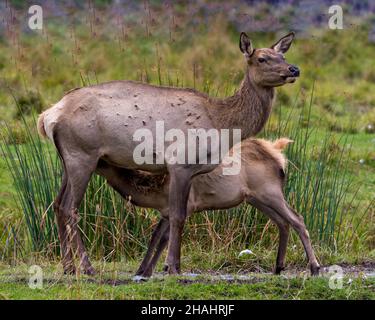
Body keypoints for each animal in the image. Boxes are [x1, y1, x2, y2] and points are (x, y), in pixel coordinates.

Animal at [96, 138, 320, 278]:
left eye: (102, 160)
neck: (156, 192)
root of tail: (278, 154)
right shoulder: (166, 211)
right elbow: (156, 237)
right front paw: (142, 270)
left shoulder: (186, 205)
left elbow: (165, 238)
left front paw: (161, 268)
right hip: (255, 198)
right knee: (283, 222)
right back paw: (278, 266)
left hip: (269, 192)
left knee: (297, 219)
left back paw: (315, 267)